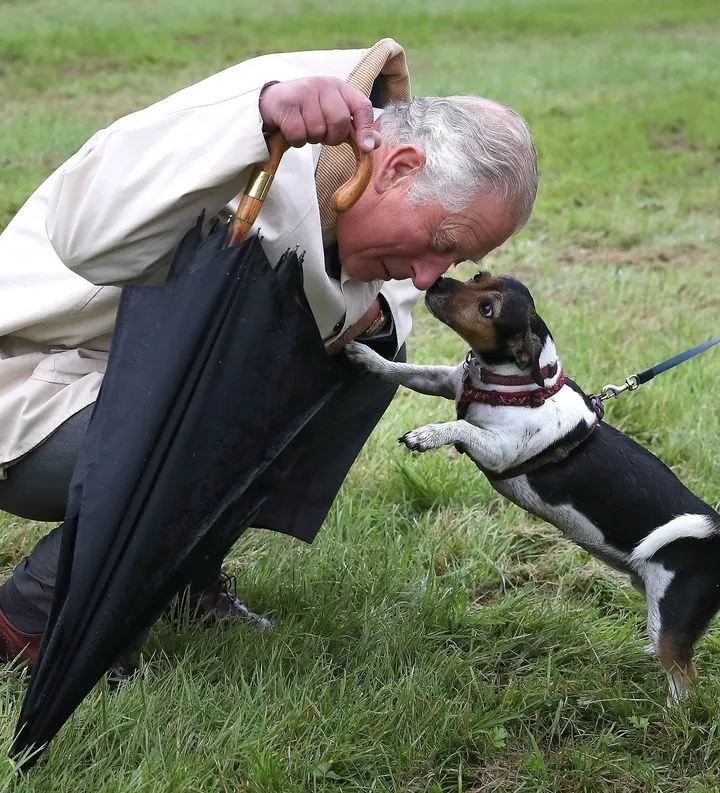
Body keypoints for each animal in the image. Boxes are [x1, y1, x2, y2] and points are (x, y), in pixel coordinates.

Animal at [348, 270, 720, 700]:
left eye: (487, 309)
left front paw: (427, 434)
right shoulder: (442, 380)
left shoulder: (497, 449)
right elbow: (406, 372)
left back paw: (671, 713)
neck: (511, 384)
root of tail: (716, 533)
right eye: (479, 276)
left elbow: (460, 426)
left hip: (672, 618)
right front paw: (368, 356)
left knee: (684, 676)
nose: (437, 282)